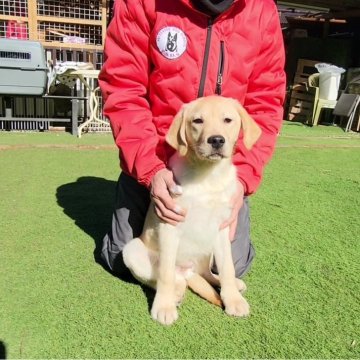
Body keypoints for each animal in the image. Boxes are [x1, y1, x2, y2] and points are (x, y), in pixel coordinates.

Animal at [122, 95, 260, 326]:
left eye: (228, 120)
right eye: (198, 121)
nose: (216, 140)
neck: (208, 176)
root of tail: (187, 271)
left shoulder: (221, 228)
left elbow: (227, 267)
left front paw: (233, 299)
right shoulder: (170, 222)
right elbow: (165, 273)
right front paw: (164, 307)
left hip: (208, 250)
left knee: (207, 274)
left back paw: (232, 284)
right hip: (131, 250)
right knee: (164, 277)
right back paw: (175, 293)